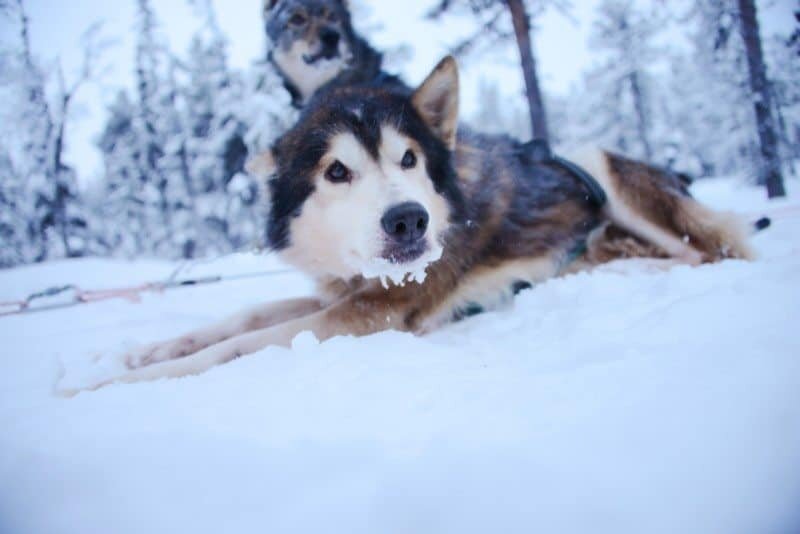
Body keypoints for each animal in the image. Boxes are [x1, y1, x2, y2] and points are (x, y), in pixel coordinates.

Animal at [61, 57, 752, 398]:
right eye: (336, 171)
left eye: (410, 160)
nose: (408, 219)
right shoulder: (344, 290)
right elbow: (243, 316)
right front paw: (144, 351)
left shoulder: (375, 313)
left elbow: (243, 344)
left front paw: (117, 384)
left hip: (600, 165)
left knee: (713, 254)